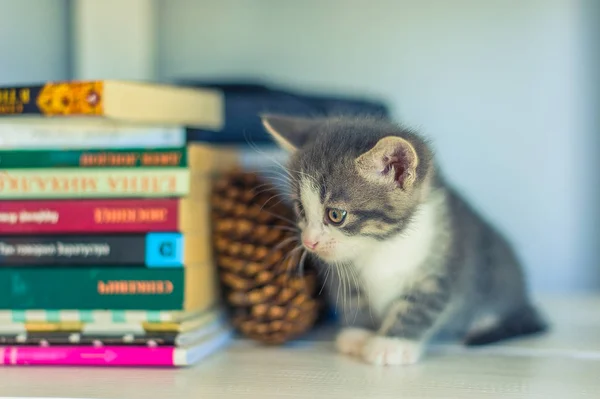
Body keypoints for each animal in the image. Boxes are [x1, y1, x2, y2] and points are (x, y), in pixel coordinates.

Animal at [260, 111, 548, 366]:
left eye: (336, 215)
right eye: (300, 209)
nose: (309, 242)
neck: (381, 246)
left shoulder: (444, 262)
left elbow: (420, 305)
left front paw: (392, 344)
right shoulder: (343, 272)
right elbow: (353, 298)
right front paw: (359, 335)